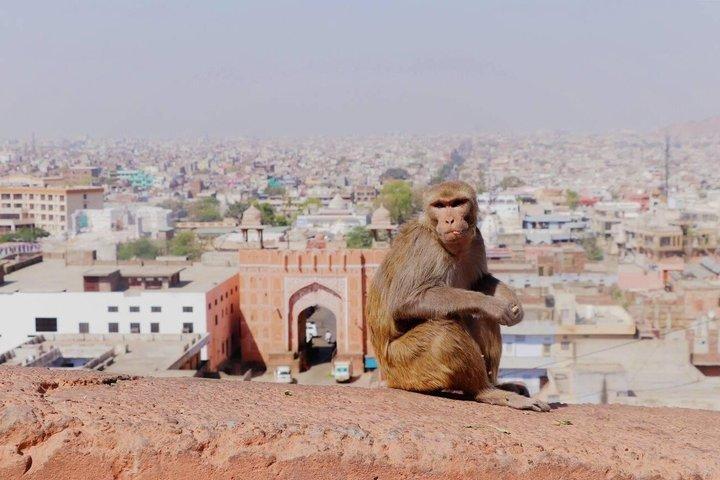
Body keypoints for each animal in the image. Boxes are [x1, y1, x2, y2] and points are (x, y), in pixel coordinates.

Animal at [367, 180, 550, 412]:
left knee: (480, 319)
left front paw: (511, 301)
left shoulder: (476, 239)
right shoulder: (423, 246)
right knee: (443, 331)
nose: (450, 219)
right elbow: (405, 301)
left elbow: (481, 281)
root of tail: (387, 376)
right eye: (440, 205)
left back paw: (497, 385)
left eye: (457, 203)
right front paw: (491, 304)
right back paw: (487, 391)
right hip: (402, 367)